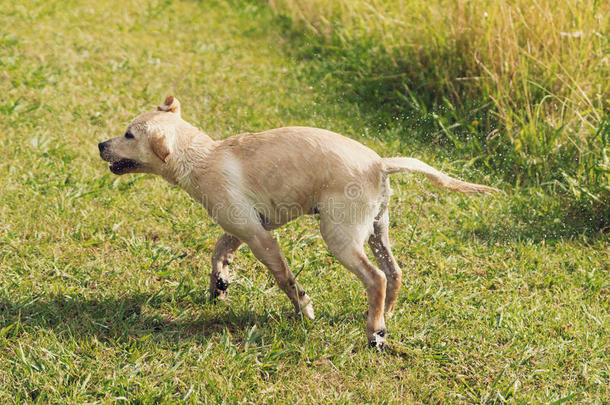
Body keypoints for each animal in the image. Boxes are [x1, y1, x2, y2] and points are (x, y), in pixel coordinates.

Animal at [97, 95, 496, 348]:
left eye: (129, 135)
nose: (100, 144)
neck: (202, 157)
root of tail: (380, 163)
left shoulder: (261, 238)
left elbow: (285, 279)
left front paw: (304, 309)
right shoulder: (245, 227)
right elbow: (218, 252)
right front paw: (219, 285)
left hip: (339, 236)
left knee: (376, 278)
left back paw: (374, 333)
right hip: (377, 231)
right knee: (395, 273)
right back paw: (384, 317)